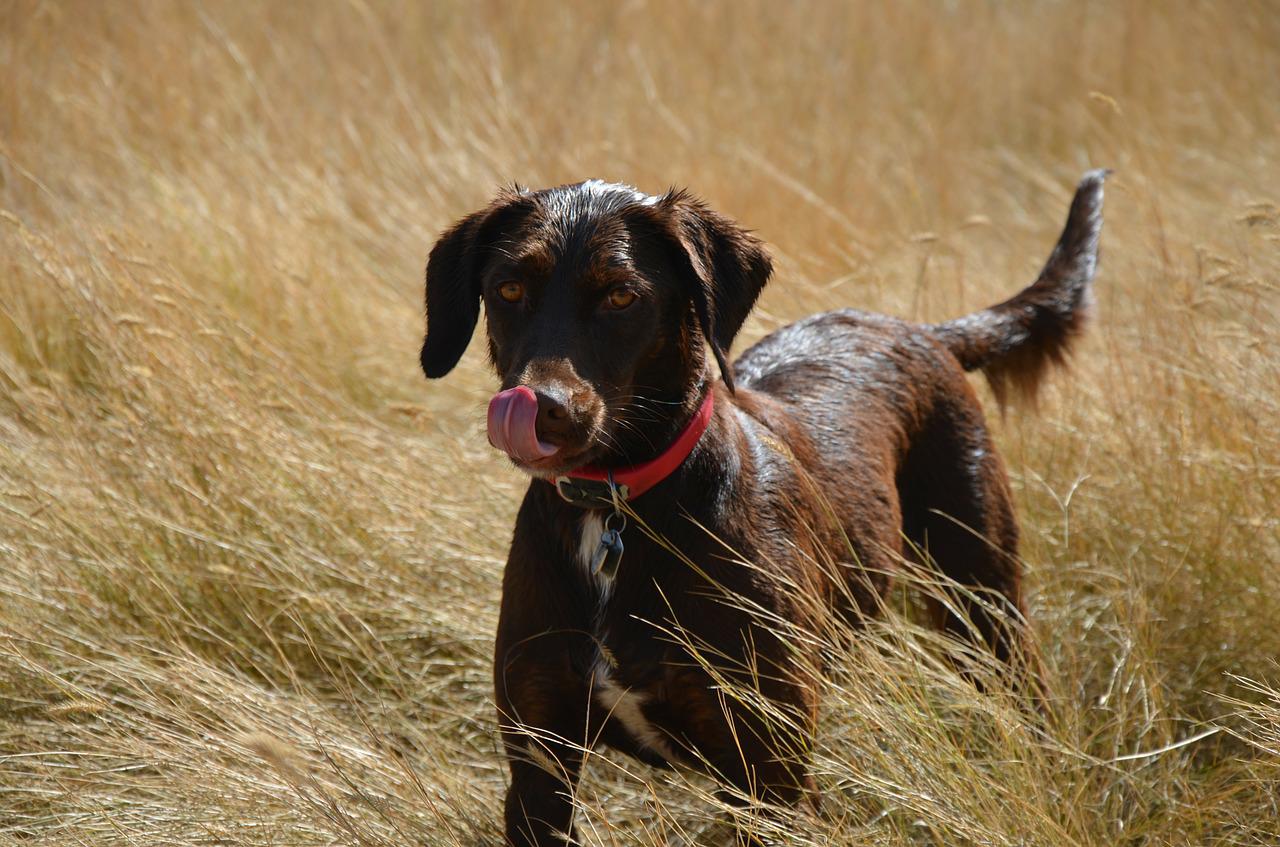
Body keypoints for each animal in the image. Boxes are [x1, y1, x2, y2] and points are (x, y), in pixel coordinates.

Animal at [419, 168, 1111, 844]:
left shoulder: (769, 774)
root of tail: (917, 331)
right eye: (509, 289)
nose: (542, 410)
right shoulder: (538, 761)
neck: (615, 506)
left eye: (621, 296)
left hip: (985, 598)